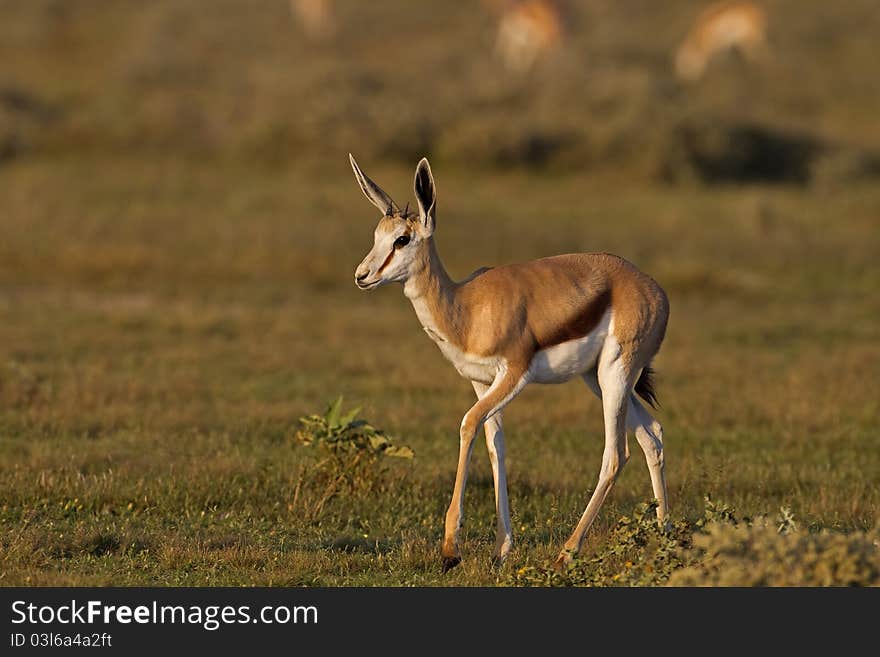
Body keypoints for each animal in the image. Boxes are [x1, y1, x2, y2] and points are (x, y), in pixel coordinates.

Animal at [348, 154, 672, 568]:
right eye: (377, 235)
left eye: (402, 239)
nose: (362, 275)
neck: (466, 309)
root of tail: (653, 288)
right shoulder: (482, 382)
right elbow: (495, 445)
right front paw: (501, 549)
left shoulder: (514, 375)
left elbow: (468, 424)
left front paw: (451, 549)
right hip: (597, 378)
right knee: (652, 435)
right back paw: (666, 539)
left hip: (615, 374)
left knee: (616, 453)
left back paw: (568, 552)